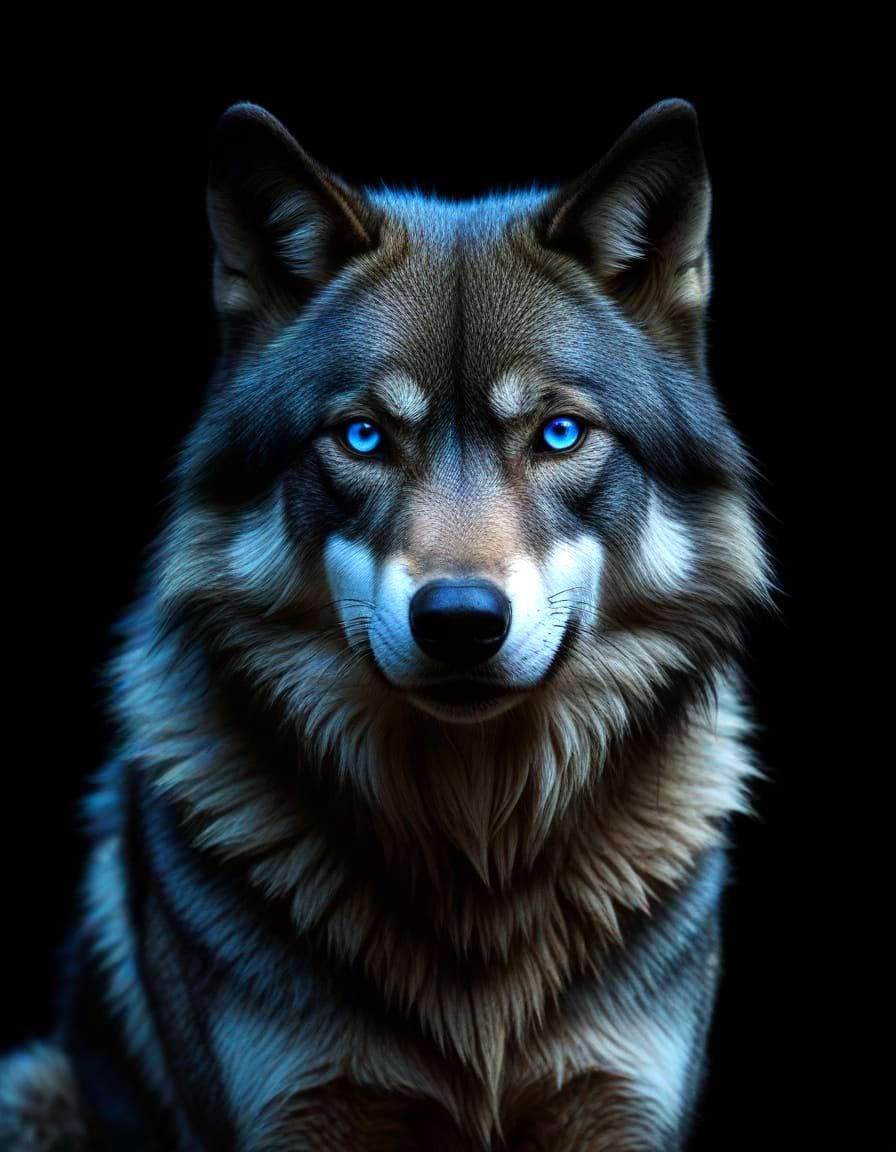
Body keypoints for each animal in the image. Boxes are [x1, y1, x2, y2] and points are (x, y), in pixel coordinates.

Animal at [0, 98, 769, 1150]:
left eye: (559, 434)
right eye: (364, 436)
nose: (459, 620)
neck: (474, 850)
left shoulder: (616, 1110)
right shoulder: (294, 1114)